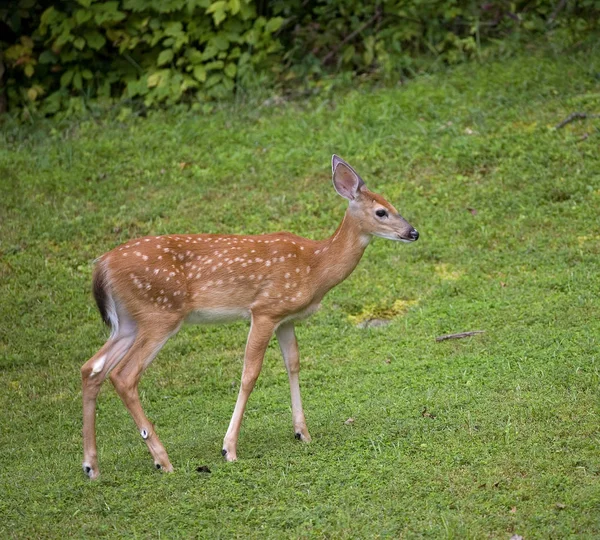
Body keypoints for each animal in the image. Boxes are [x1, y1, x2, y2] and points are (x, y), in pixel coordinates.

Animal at [79, 155, 418, 476]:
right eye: (381, 212)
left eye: (393, 205)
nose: (413, 232)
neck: (315, 266)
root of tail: (101, 266)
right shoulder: (264, 309)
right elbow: (250, 373)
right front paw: (229, 448)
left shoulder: (286, 317)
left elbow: (293, 363)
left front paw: (302, 433)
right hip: (159, 313)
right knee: (124, 376)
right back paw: (162, 460)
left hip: (127, 322)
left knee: (91, 368)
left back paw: (91, 466)